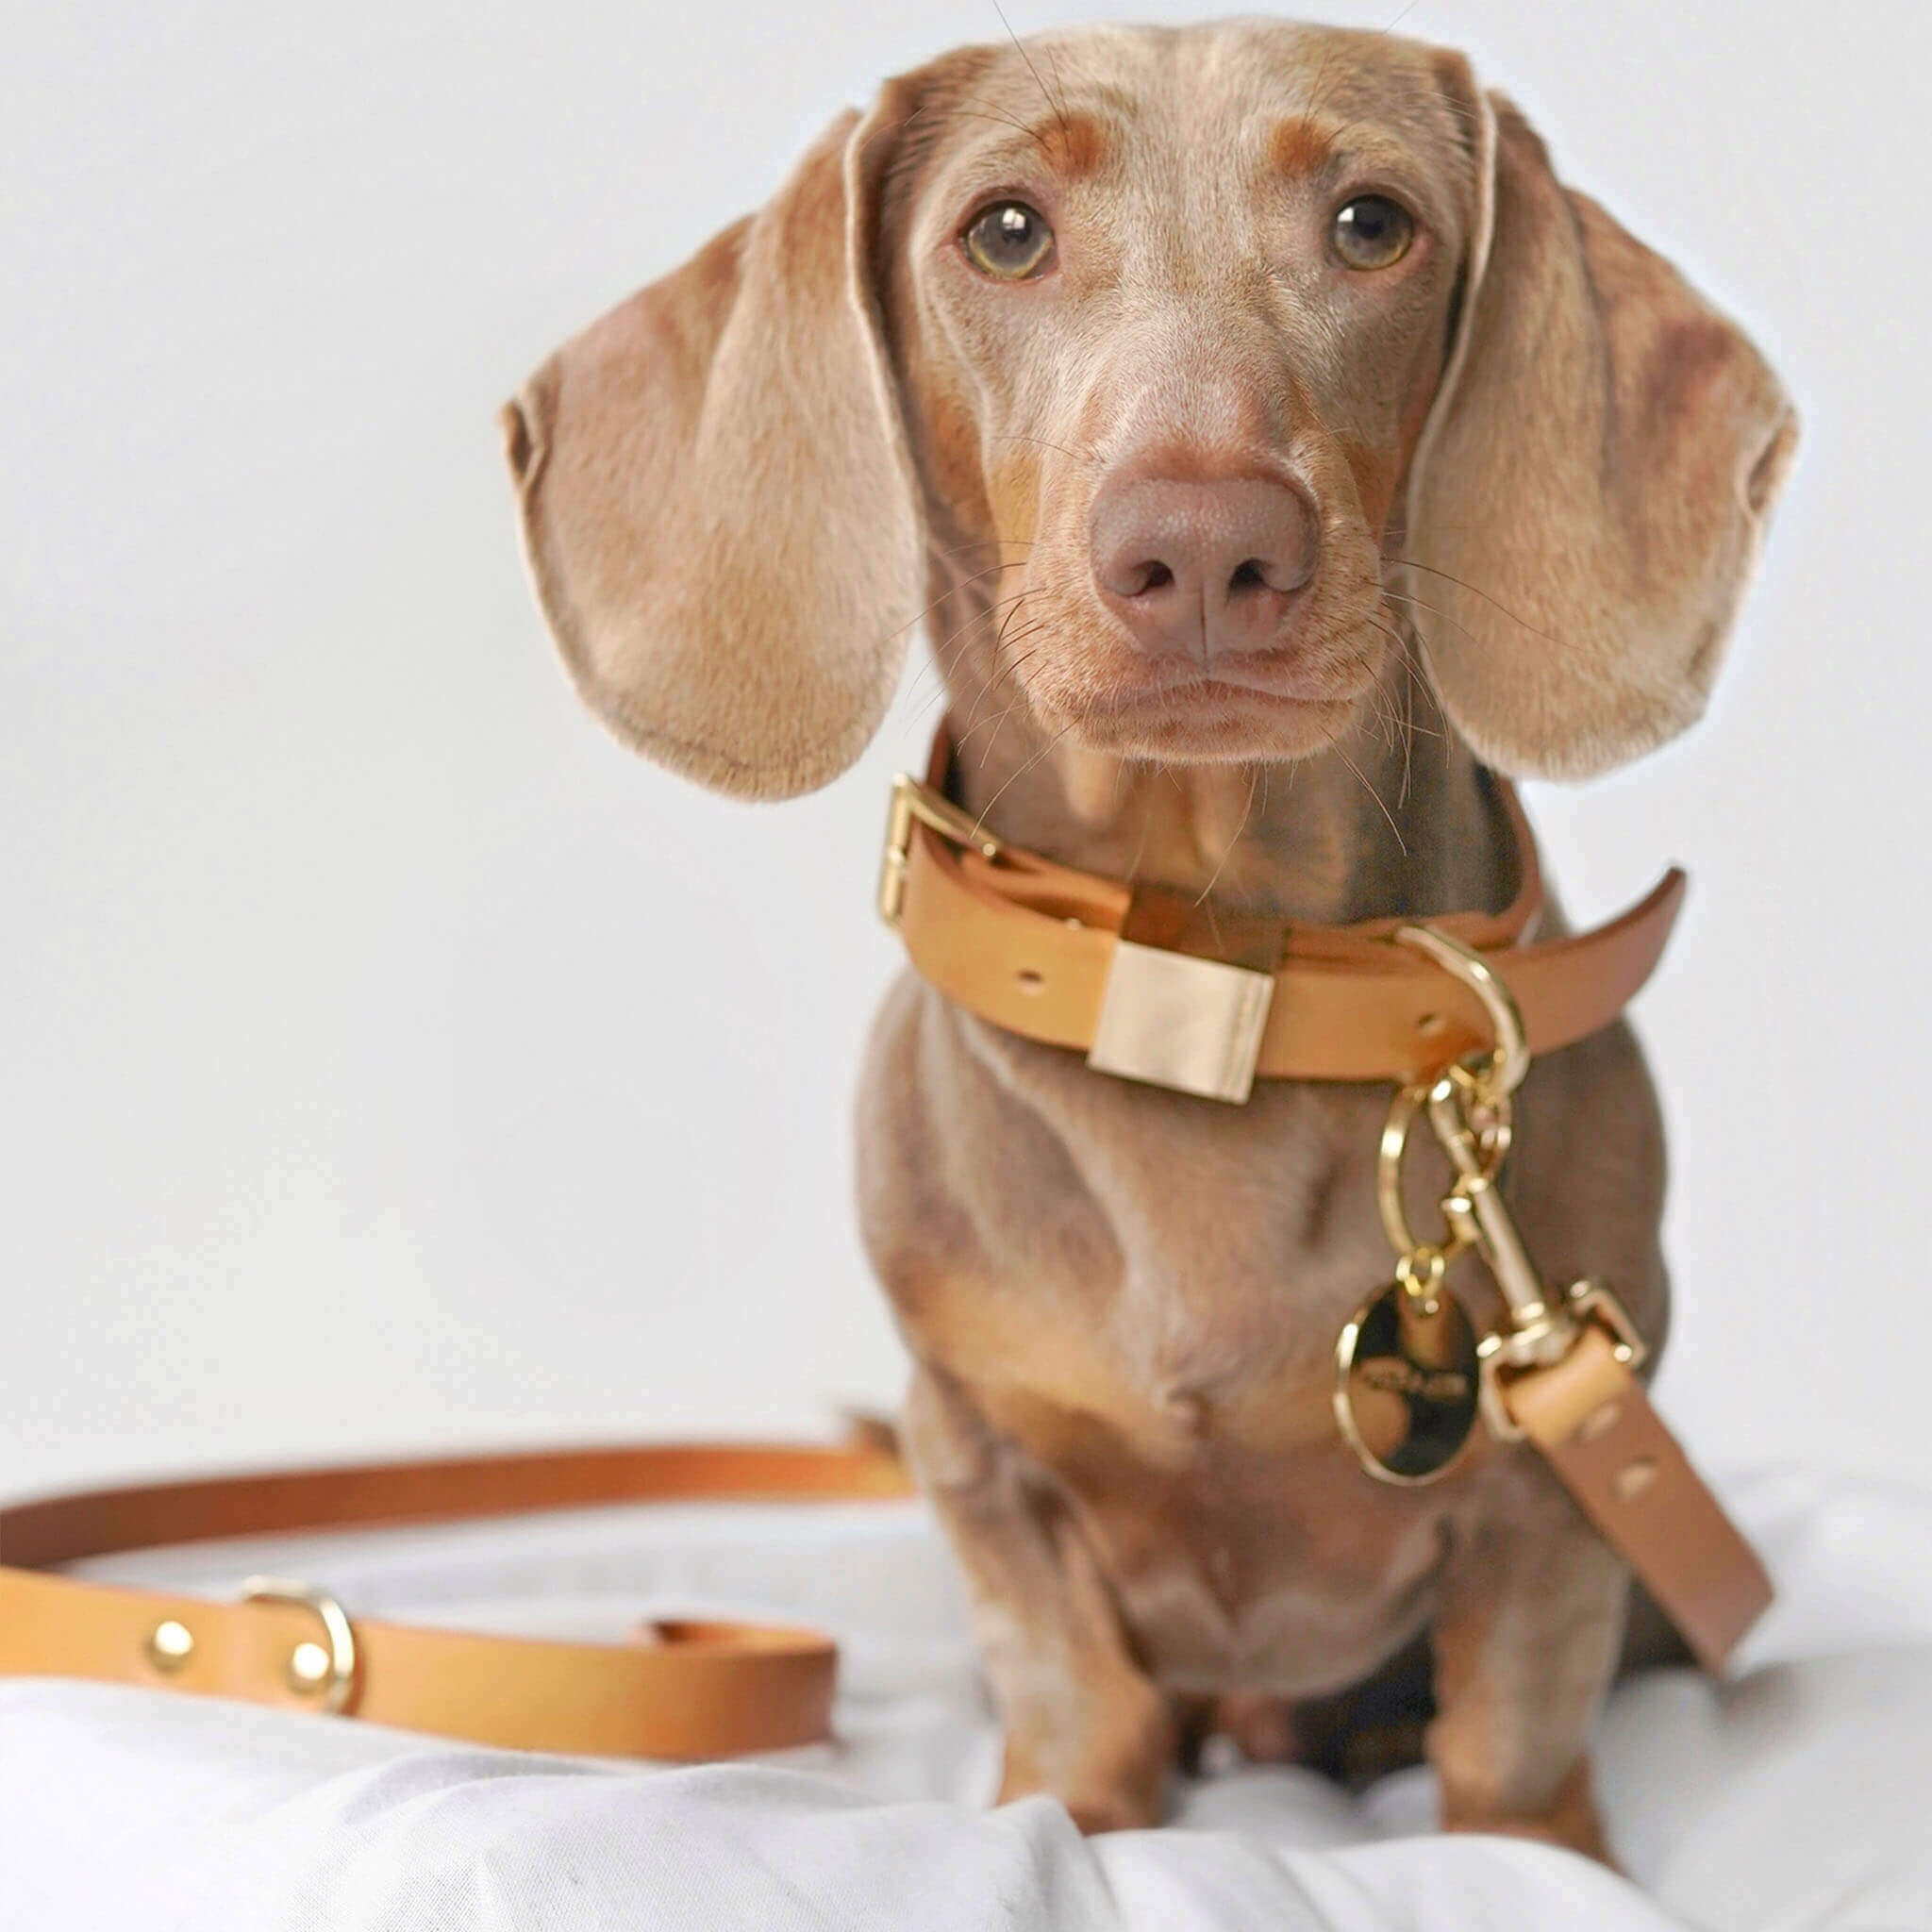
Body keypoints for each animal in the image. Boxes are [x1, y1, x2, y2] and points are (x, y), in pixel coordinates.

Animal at [502, 15, 1792, 1855]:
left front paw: (1536, 1853)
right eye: (1004, 232)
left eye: (1373, 223)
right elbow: (1069, 1683)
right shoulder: (973, 1445)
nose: (1199, 544)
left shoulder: (1562, 1473)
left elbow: (1513, 1732)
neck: (1212, 970)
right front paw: (1074, 1811)